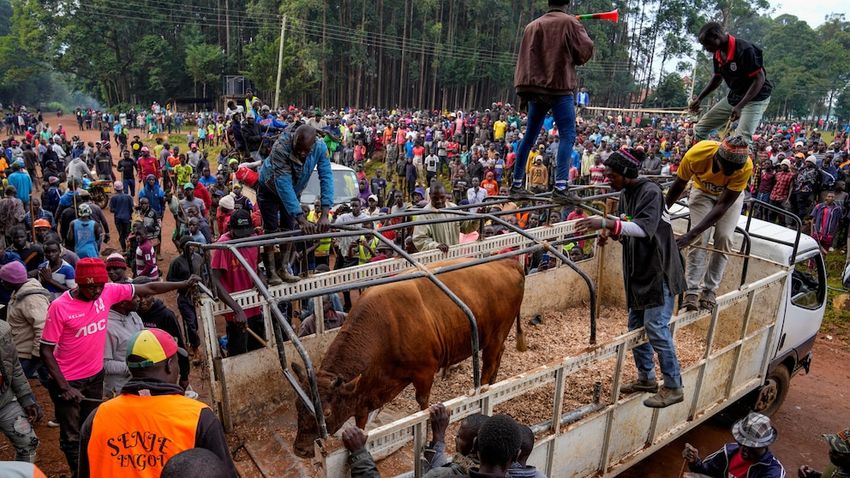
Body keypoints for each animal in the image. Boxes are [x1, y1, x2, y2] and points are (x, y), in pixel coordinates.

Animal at [294, 258, 528, 456]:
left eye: (327, 413)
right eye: (298, 404)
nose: (301, 450)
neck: (386, 327)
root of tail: (507, 262)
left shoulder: (424, 373)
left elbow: (422, 405)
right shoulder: (364, 392)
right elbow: (361, 419)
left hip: (494, 337)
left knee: (489, 364)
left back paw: (484, 388)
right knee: (498, 357)